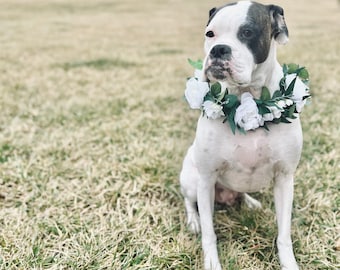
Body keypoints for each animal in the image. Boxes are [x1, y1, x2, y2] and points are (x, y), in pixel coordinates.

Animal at [179, 1, 304, 268]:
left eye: (247, 33)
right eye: (210, 34)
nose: (218, 49)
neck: (250, 101)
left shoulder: (284, 178)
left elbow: (284, 234)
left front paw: (288, 262)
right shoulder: (206, 179)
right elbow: (209, 234)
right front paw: (212, 262)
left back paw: (250, 202)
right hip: (193, 182)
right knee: (189, 202)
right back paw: (193, 220)